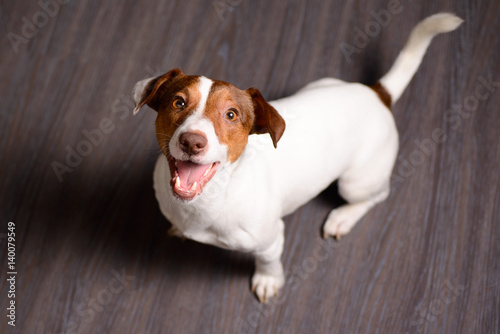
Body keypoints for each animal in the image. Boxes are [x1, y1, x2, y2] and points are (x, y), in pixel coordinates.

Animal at [134, 13, 464, 302]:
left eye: (231, 115)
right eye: (178, 102)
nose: (192, 141)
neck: (210, 198)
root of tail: (376, 95)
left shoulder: (270, 240)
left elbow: (268, 262)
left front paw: (268, 280)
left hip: (356, 182)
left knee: (377, 195)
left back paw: (343, 217)